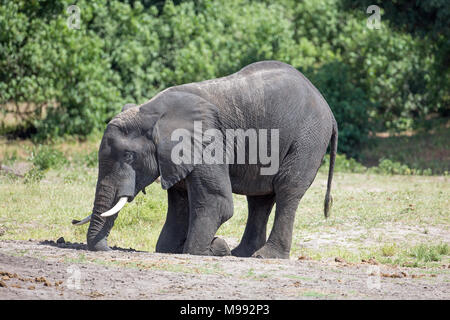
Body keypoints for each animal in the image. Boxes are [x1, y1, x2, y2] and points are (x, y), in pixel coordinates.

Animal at [72, 60, 336, 260]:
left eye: (129, 156)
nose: (107, 249)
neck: (151, 111)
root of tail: (327, 108)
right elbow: (180, 204)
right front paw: (176, 248)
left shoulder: (209, 142)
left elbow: (216, 202)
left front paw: (215, 247)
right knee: (260, 198)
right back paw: (242, 253)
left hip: (308, 140)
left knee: (286, 191)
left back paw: (265, 256)